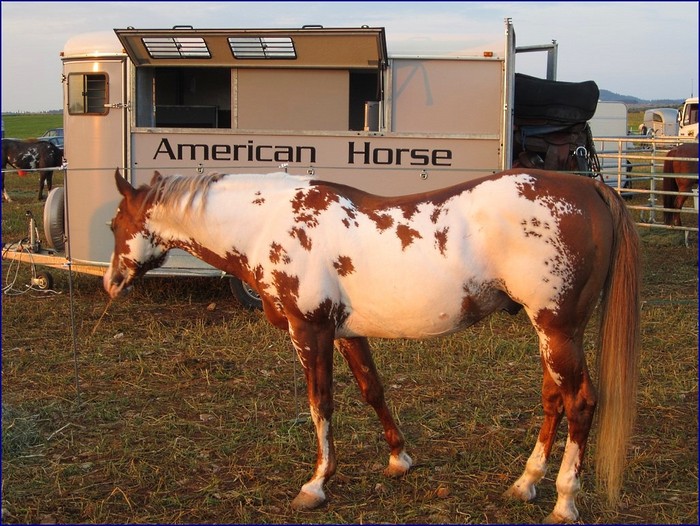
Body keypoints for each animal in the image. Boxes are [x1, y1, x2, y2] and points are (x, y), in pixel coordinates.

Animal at [102, 168, 640, 524]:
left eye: (113, 224)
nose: (111, 282)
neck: (267, 223)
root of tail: (589, 186)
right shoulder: (346, 333)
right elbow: (372, 391)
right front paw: (400, 459)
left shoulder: (309, 331)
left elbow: (321, 405)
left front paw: (316, 484)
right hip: (553, 334)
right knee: (554, 400)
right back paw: (525, 483)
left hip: (558, 329)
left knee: (580, 402)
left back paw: (564, 502)